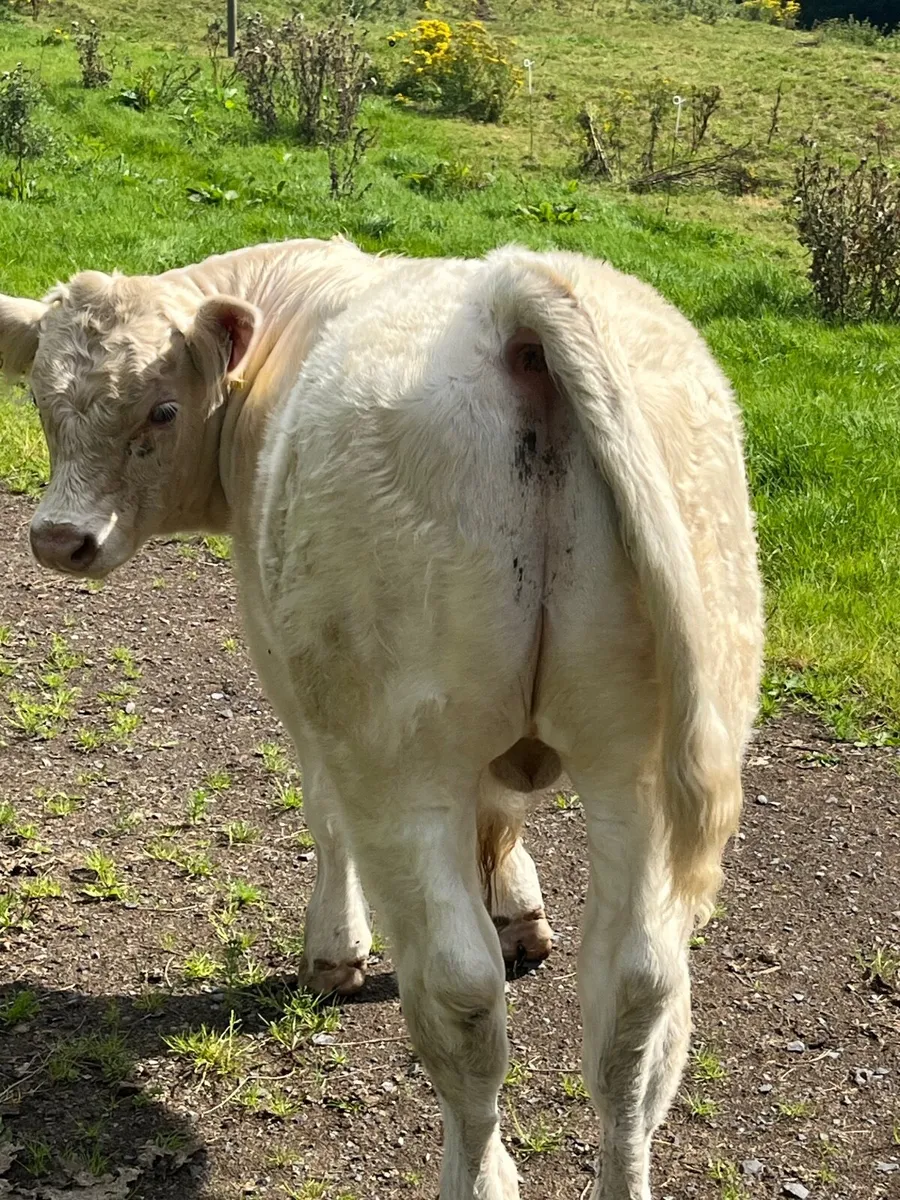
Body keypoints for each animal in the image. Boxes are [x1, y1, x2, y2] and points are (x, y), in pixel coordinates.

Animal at [0, 236, 763, 1200]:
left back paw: (476, 1173)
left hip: (396, 754)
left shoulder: (287, 663)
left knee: (460, 992)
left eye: (161, 409)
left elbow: (324, 817)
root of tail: (509, 295)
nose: (59, 539)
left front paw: (334, 953)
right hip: (646, 762)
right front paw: (520, 906)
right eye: (41, 400)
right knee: (637, 997)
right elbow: (503, 819)